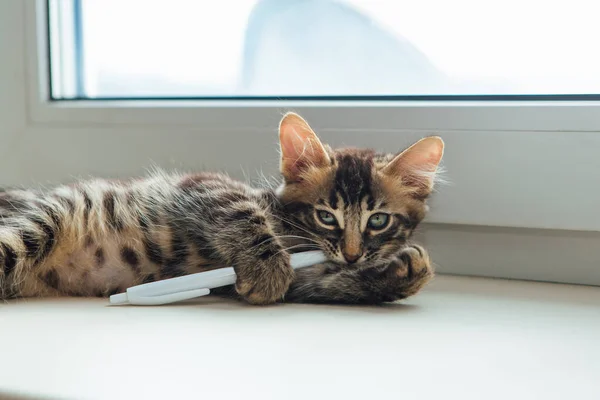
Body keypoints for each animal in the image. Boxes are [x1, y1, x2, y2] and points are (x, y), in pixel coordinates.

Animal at [0, 111, 442, 304]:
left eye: (378, 220)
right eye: (326, 216)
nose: (351, 254)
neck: (290, 228)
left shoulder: (310, 279)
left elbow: (330, 284)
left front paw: (406, 271)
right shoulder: (207, 185)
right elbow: (245, 217)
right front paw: (267, 269)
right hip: (39, 224)